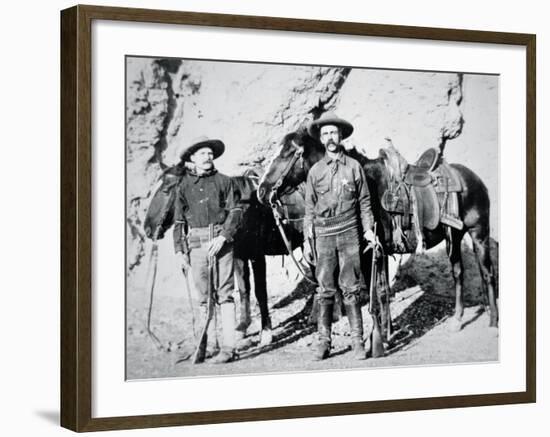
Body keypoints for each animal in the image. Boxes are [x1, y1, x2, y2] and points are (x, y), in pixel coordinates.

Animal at [143, 162, 306, 346]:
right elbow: (243, 289)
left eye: (165, 190)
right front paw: (242, 327)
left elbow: (260, 292)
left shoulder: (257, 256)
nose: (147, 228)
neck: (246, 208)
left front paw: (266, 332)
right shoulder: (239, 256)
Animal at [258, 126, 500, 330]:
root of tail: (474, 179)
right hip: (455, 236)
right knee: (458, 272)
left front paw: (384, 332)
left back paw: (493, 321)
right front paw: (384, 329)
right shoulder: (369, 253)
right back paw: (458, 320)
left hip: (479, 233)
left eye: (287, 153)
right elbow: (375, 290)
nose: (261, 190)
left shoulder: (376, 250)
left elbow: (380, 291)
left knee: (487, 273)